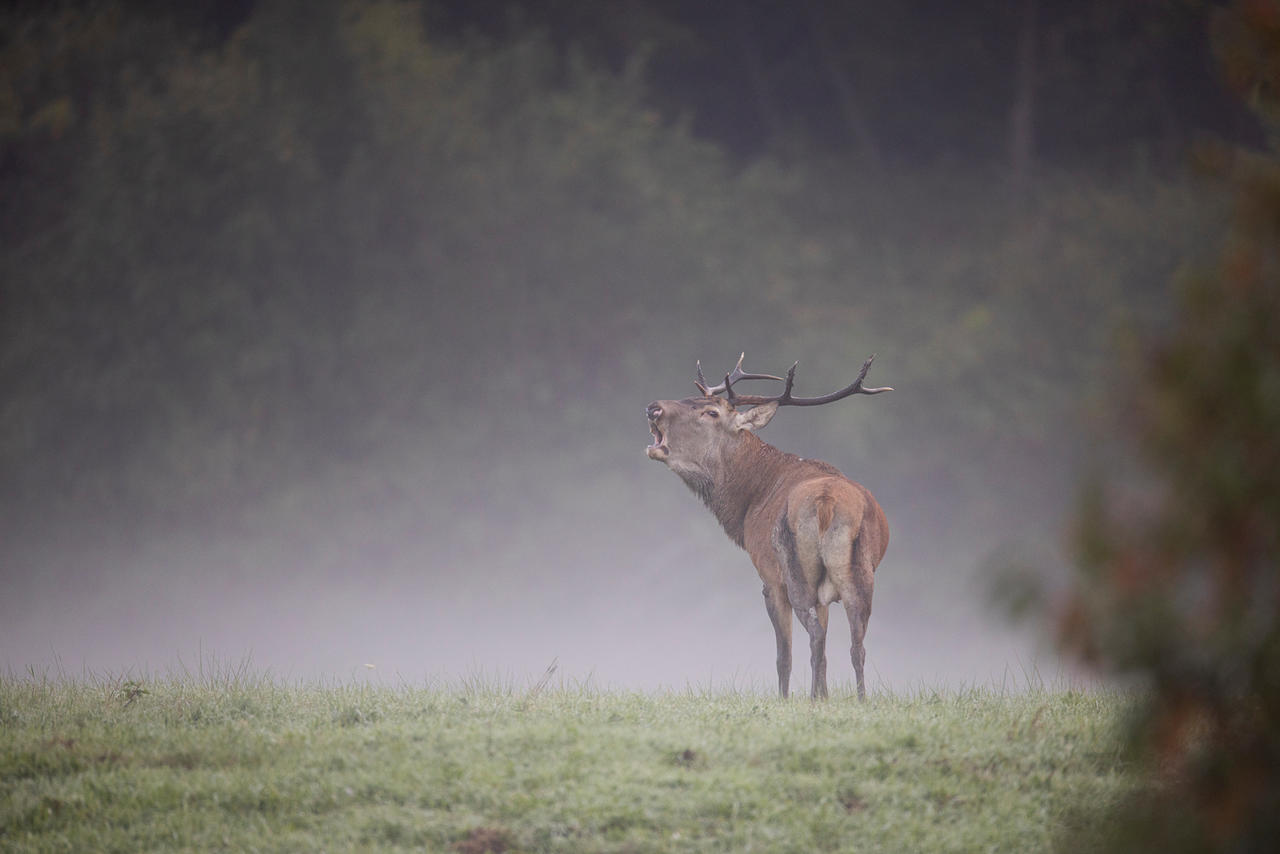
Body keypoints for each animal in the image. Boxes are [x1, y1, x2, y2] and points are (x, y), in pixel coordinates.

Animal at [645, 353, 896, 701]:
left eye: (711, 412)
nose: (653, 407)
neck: (748, 504)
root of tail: (826, 503)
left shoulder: (768, 578)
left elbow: (783, 654)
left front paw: (788, 699)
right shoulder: (824, 594)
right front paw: (826, 696)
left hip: (793, 570)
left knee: (813, 637)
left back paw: (811, 700)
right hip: (861, 574)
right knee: (855, 644)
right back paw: (858, 700)